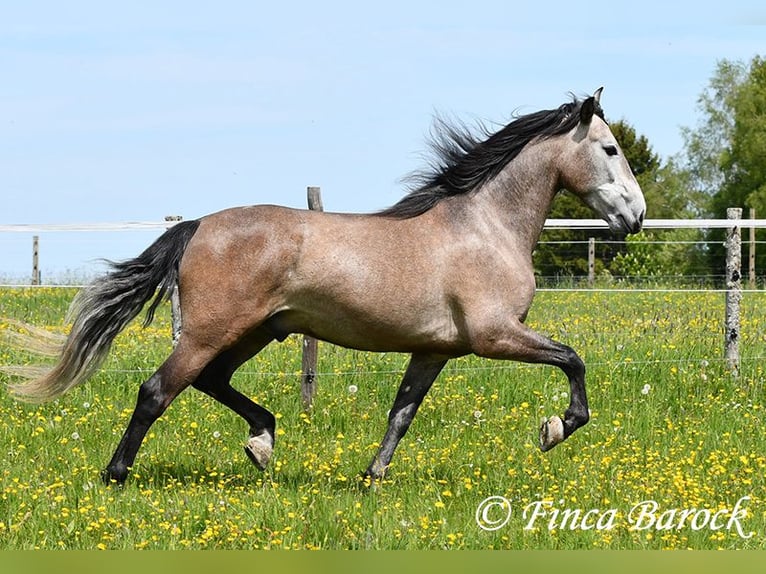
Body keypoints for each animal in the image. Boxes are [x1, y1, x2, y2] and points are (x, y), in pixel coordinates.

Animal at [6, 88, 645, 485]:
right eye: (610, 148)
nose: (635, 216)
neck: (484, 226)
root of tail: (198, 226)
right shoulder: (495, 335)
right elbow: (573, 360)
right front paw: (554, 429)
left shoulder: (435, 349)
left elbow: (401, 413)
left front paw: (371, 477)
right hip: (212, 331)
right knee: (157, 390)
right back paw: (118, 474)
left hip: (256, 331)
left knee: (212, 381)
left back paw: (262, 442)